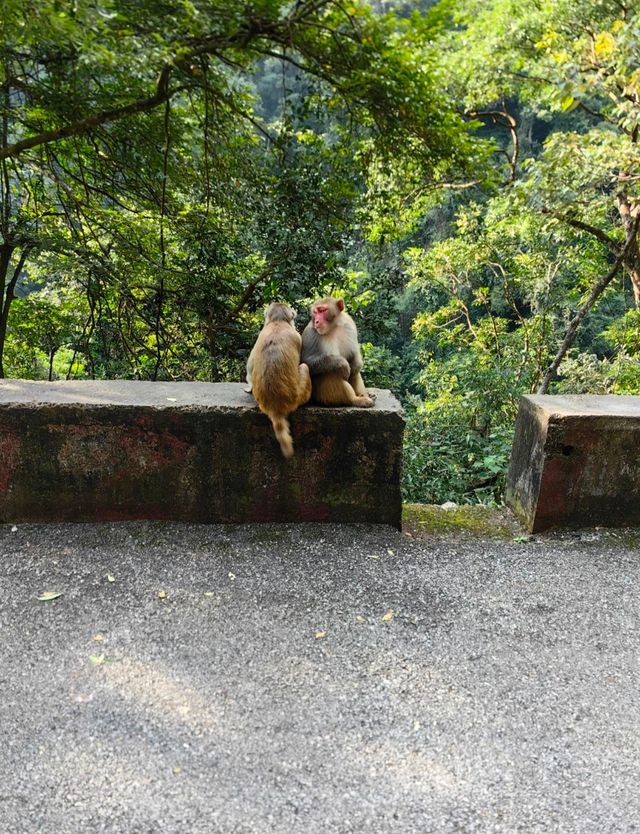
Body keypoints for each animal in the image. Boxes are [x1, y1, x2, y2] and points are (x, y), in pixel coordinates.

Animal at [246, 300, 312, 456]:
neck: (278, 322)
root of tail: (274, 406)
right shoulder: (298, 337)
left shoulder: (260, 334)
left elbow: (250, 368)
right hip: (297, 396)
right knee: (304, 367)